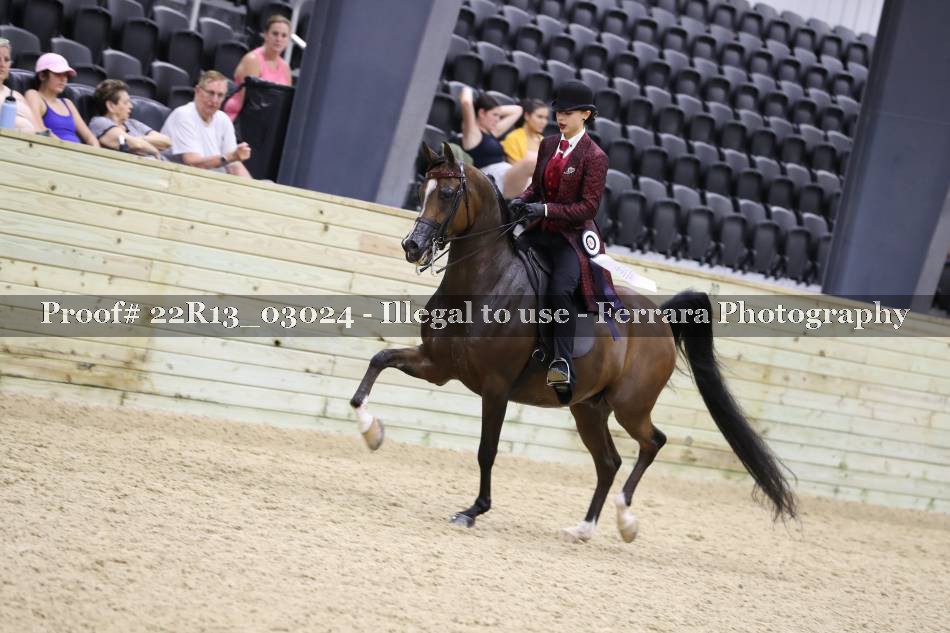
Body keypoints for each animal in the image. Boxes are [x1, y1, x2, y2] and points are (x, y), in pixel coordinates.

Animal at [350, 142, 796, 542]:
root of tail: (662, 320)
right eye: (420, 191)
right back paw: (584, 528)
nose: (412, 247)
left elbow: (486, 450)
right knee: (609, 462)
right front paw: (372, 432)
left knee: (652, 443)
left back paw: (625, 520)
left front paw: (473, 510)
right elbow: (378, 361)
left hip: (630, 406)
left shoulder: (495, 387)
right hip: (588, 408)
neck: (483, 285)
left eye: (445, 193)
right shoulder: (438, 366)